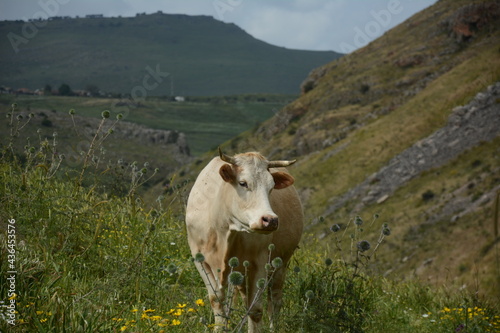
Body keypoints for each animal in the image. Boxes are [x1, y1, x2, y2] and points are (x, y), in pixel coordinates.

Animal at [186, 148, 302, 332]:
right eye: (243, 183)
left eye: (271, 187)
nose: (270, 220)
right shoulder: (200, 261)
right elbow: (217, 303)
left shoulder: (260, 261)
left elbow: (255, 310)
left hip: (281, 264)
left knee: (274, 302)